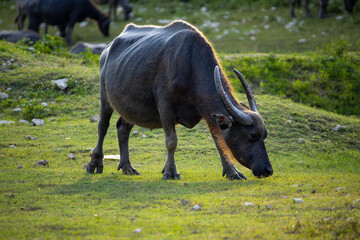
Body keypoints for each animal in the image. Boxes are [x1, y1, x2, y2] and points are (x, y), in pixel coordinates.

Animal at [86, 21, 272, 180]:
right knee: (103, 126)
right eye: (252, 135)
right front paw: (170, 172)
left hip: (132, 106)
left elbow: (219, 142)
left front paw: (232, 172)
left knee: (122, 128)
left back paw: (127, 167)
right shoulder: (165, 106)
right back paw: (94, 164)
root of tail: (106, 51)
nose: (267, 170)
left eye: (264, 135)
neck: (190, 67)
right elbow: (171, 141)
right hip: (105, 98)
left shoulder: (207, 111)